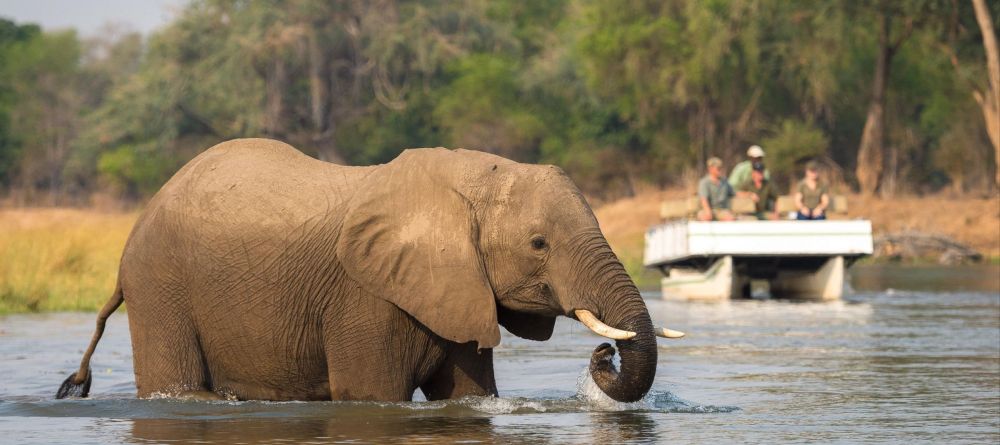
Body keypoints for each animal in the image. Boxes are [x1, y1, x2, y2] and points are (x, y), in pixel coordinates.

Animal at [54, 138, 680, 402]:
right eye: (539, 243)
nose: (603, 354)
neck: (462, 183)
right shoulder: (366, 297)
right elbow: (372, 396)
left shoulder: (457, 290)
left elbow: (467, 395)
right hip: (160, 285)